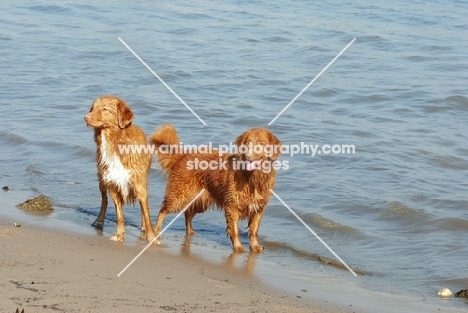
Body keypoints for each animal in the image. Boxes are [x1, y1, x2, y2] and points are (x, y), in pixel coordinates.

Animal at [84, 95, 155, 241]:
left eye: (105, 109)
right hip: (102, 179)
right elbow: (119, 215)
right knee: (104, 200)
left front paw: (151, 237)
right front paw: (119, 235)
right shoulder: (113, 184)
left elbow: (146, 213)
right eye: (92, 108)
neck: (114, 142)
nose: (85, 117)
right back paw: (99, 220)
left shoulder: (139, 184)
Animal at [150, 124, 282, 251]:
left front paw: (255, 247)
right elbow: (234, 230)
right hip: (179, 195)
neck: (252, 177)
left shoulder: (258, 208)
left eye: (261, 143)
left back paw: (190, 231)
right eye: (247, 143)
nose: (248, 156)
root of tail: (182, 155)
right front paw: (238, 247)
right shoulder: (232, 206)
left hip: (201, 201)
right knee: (163, 210)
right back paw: (156, 230)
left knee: (188, 213)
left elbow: (254, 231)